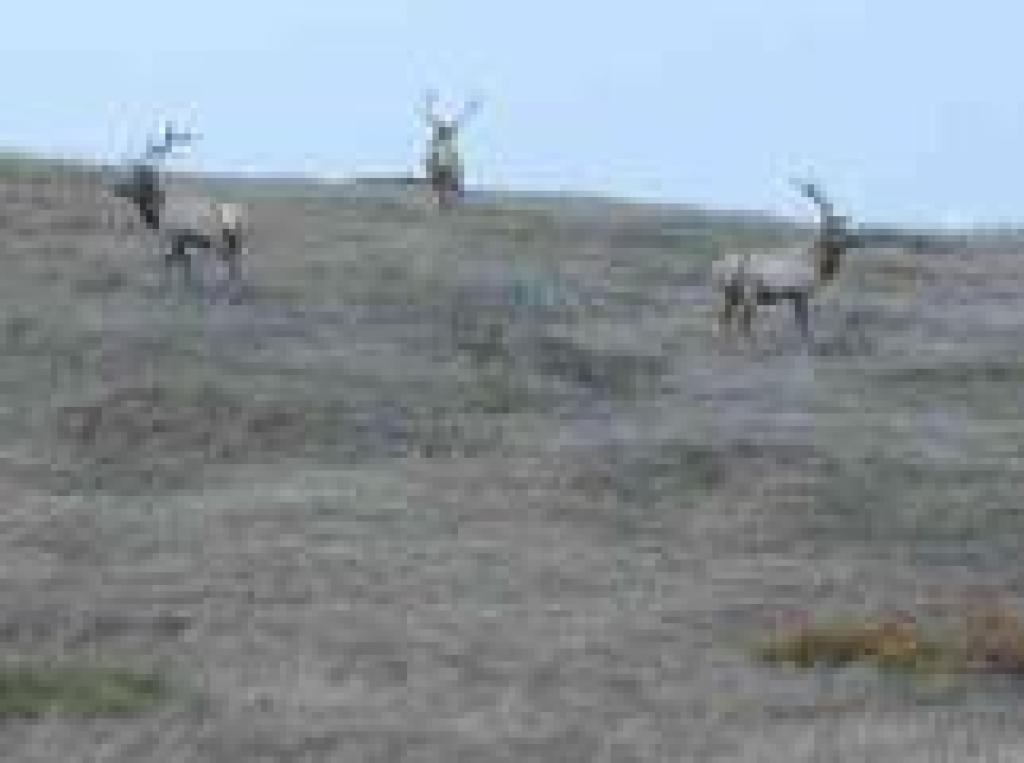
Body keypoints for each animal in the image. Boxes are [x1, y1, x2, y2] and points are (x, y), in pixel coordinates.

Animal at [108, 122, 249, 301]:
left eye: (135, 176)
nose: (116, 187)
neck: (158, 206)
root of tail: (232, 215)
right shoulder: (183, 240)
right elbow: (185, 263)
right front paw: (187, 289)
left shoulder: (170, 236)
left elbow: (170, 260)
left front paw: (168, 291)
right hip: (234, 241)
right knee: (235, 263)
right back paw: (234, 294)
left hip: (217, 240)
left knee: (222, 264)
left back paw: (218, 295)